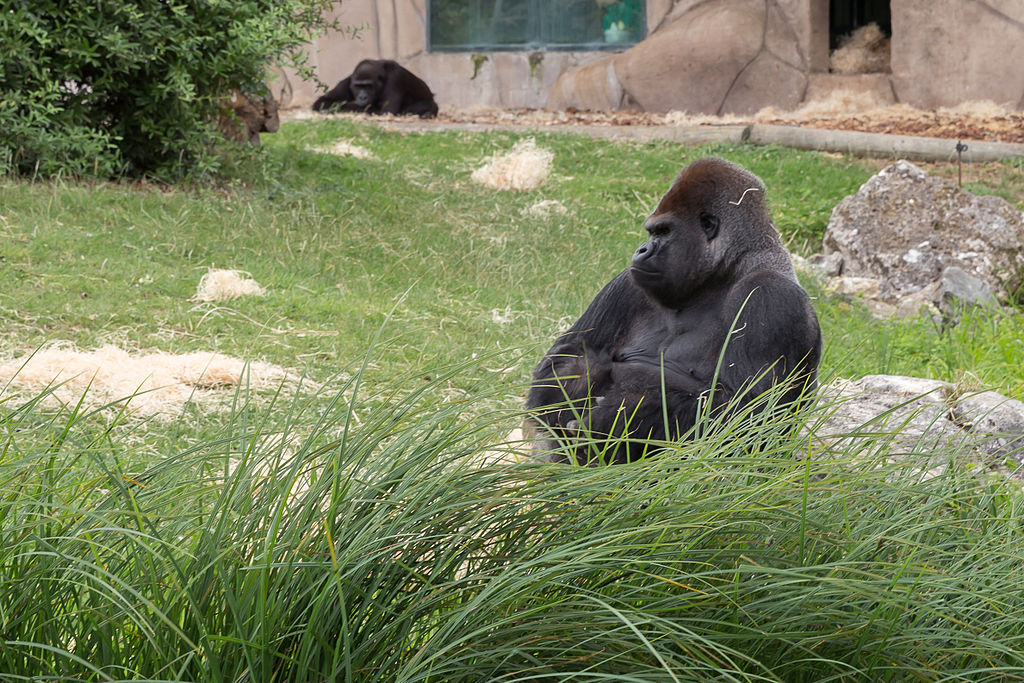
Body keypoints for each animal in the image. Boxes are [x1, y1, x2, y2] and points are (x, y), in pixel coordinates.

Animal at [307, 58, 436, 118]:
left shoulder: (395, 78)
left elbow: (386, 111)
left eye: (368, 86)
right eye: (358, 86)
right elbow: (323, 102)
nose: (362, 97)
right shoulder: (348, 80)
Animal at [528, 157, 823, 464]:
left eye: (664, 231)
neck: (724, 271)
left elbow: (748, 414)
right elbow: (563, 360)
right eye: (652, 231)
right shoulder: (627, 283)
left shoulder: (768, 296)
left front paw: (623, 413)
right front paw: (586, 379)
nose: (642, 249)